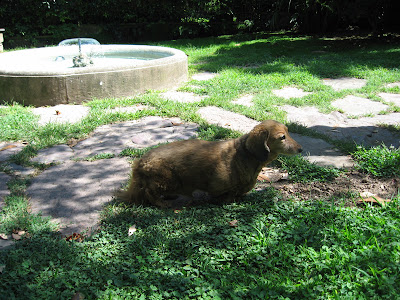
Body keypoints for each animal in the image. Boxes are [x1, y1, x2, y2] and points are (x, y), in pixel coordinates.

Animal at [117, 119, 302, 206]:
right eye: (282, 137)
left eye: (288, 132)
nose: (300, 149)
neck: (244, 155)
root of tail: (141, 162)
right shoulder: (218, 185)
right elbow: (227, 195)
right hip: (167, 180)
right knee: (150, 193)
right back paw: (164, 203)